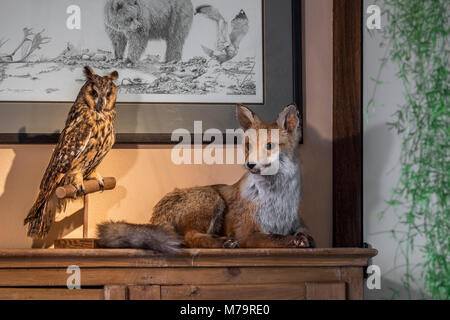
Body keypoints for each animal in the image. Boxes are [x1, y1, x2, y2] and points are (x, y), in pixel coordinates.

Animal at [97, 104, 316, 251]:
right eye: (248, 146)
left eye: (270, 145)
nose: (250, 165)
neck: (277, 199)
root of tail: (158, 212)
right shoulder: (247, 232)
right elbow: (276, 238)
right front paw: (293, 241)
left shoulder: (297, 223)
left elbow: (307, 234)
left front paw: (302, 238)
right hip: (212, 198)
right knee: (190, 237)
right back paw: (222, 242)